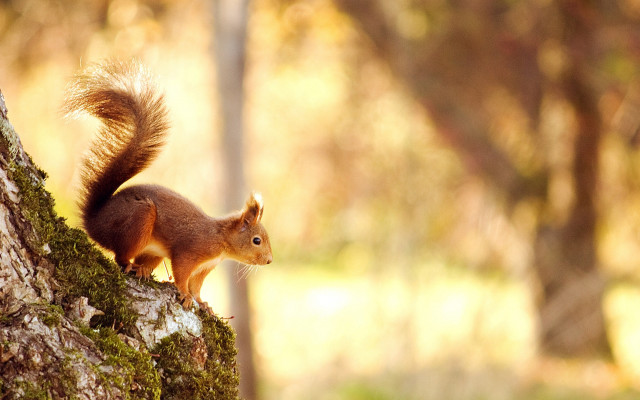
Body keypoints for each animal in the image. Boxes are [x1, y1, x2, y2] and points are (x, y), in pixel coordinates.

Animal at [64, 60, 273, 313]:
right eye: (256, 240)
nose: (269, 260)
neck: (221, 240)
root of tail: (94, 221)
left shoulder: (205, 267)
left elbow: (197, 285)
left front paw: (203, 303)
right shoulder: (190, 251)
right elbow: (182, 274)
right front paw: (184, 295)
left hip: (152, 249)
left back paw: (143, 269)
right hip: (139, 220)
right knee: (120, 257)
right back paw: (132, 266)